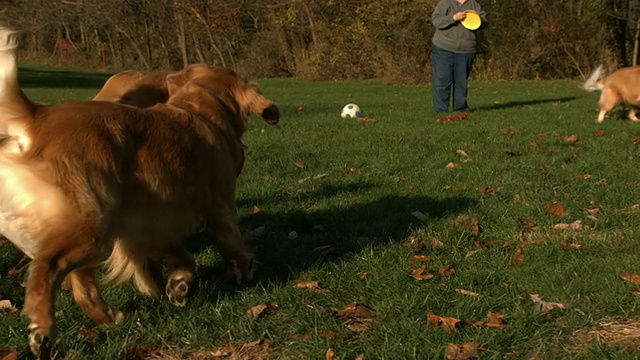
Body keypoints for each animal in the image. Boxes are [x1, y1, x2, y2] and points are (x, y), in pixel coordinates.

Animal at [0, 28, 280, 358]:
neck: (201, 109)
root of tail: (37, 117)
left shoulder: (145, 224)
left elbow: (178, 256)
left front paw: (177, 285)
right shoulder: (219, 206)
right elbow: (231, 243)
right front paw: (243, 272)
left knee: (81, 283)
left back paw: (108, 316)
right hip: (90, 226)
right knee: (48, 268)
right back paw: (42, 331)